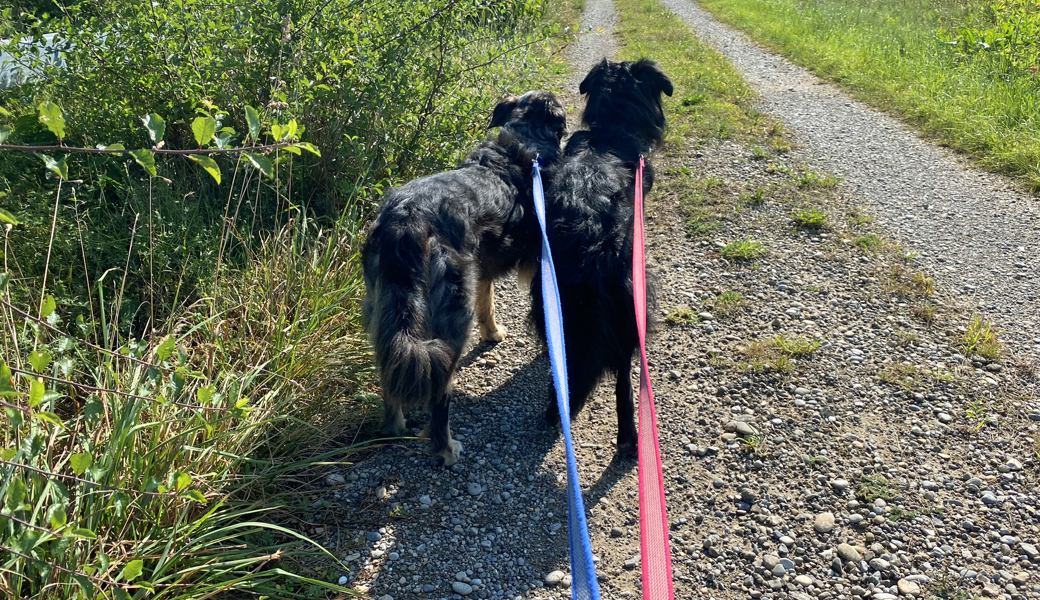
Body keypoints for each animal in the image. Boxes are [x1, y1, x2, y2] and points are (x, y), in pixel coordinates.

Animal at [361, 91, 565, 465]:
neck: (524, 141)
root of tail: (407, 218)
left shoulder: (481, 271)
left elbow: (488, 305)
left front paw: (493, 334)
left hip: (382, 309)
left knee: (388, 369)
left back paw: (394, 425)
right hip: (453, 317)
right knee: (440, 389)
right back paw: (445, 448)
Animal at [532, 58, 669, 455]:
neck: (610, 130)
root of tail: (590, 236)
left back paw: (558, 407)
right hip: (632, 299)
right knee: (623, 373)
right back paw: (629, 437)